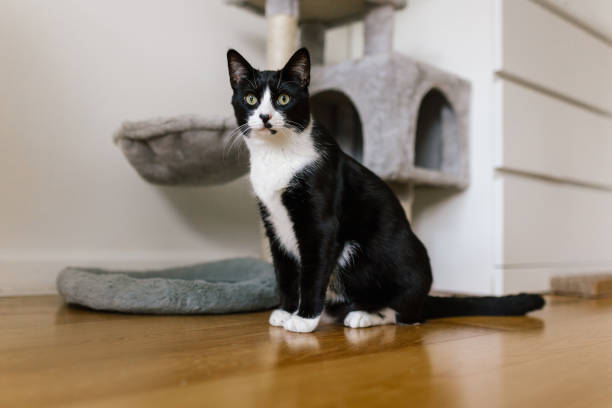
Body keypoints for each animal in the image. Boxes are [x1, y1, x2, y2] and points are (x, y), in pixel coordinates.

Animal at [226, 47, 544, 332]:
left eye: (283, 99)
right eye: (251, 99)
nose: (265, 117)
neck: (277, 155)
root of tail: (425, 298)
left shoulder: (320, 220)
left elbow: (313, 271)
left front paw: (304, 319)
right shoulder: (273, 224)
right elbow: (285, 272)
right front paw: (286, 311)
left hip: (375, 257)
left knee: (406, 314)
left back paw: (364, 315)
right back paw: (334, 312)